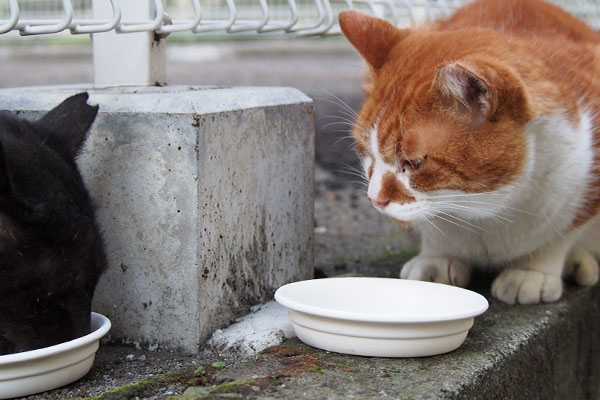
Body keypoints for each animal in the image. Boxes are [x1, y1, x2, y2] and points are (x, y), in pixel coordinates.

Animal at [340, 0, 596, 304]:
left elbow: (560, 236)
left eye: (412, 163)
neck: (482, 213)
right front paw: (437, 259)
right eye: (365, 150)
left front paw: (533, 271)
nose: (374, 199)